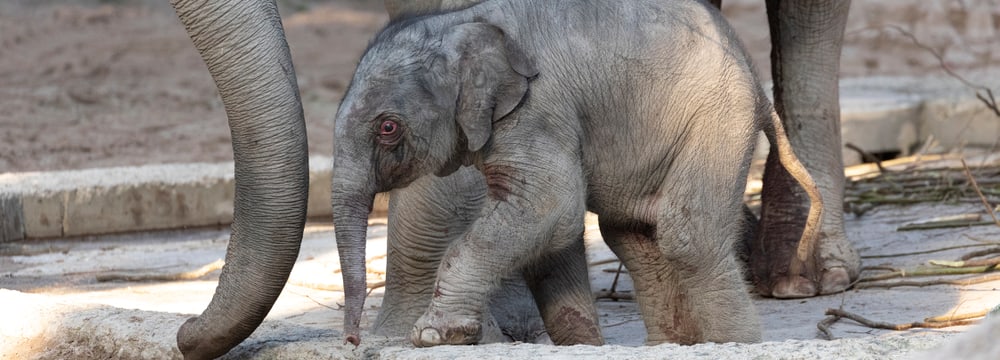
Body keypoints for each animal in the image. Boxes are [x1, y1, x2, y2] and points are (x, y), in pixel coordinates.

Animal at [332, 0, 824, 348]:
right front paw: (584, 344)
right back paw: (671, 345)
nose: (352, 340)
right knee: (633, 235)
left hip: (717, 119)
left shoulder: (539, 109)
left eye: (388, 127)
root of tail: (756, 85)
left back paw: (735, 345)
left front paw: (433, 336)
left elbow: (550, 208)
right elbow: (549, 234)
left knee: (687, 236)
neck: (463, 21)